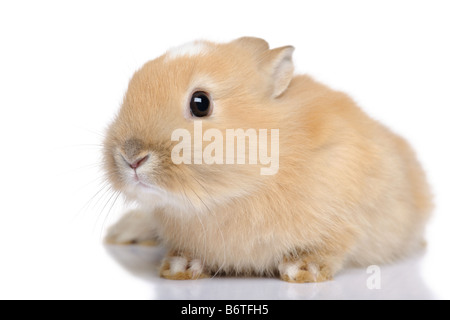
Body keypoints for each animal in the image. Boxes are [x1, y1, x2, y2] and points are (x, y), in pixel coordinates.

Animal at [102, 37, 432, 282]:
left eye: (200, 103)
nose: (131, 157)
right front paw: (179, 267)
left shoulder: (346, 220)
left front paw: (303, 270)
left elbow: (331, 248)